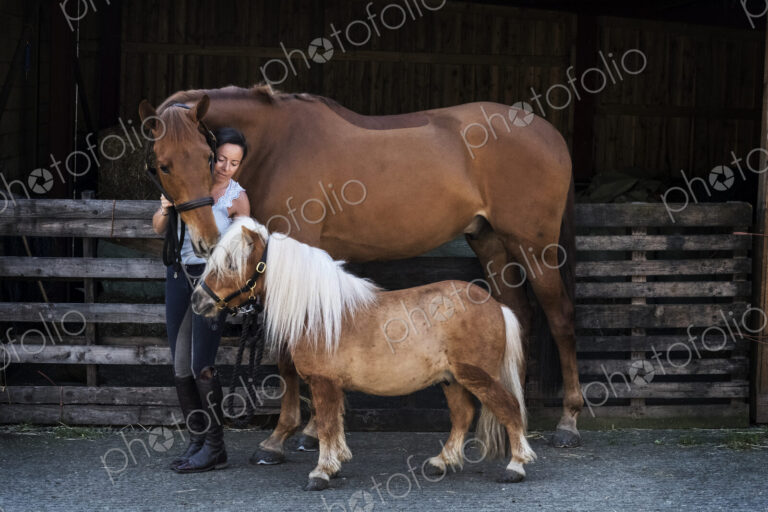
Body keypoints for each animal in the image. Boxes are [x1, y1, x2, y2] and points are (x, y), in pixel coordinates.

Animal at [138, 84, 582, 453]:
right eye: (163, 165)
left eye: (207, 157)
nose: (205, 239)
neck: (279, 146)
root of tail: (550, 134)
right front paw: (311, 430)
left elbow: (287, 353)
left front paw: (283, 435)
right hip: (490, 241)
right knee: (517, 314)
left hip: (534, 246)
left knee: (560, 318)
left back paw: (567, 420)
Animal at [190, 217, 537, 490]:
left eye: (231, 264)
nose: (198, 301)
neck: (319, 312)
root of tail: (496, 306)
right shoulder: (330, 385)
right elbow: (334, 426)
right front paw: (334, 465)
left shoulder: (323, 382)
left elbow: (326, 426)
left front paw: (321, 473)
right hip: (450, 379)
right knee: (463, 415)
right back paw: (441, 462)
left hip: (478, 376)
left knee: (509, 408)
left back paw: (516, 466)